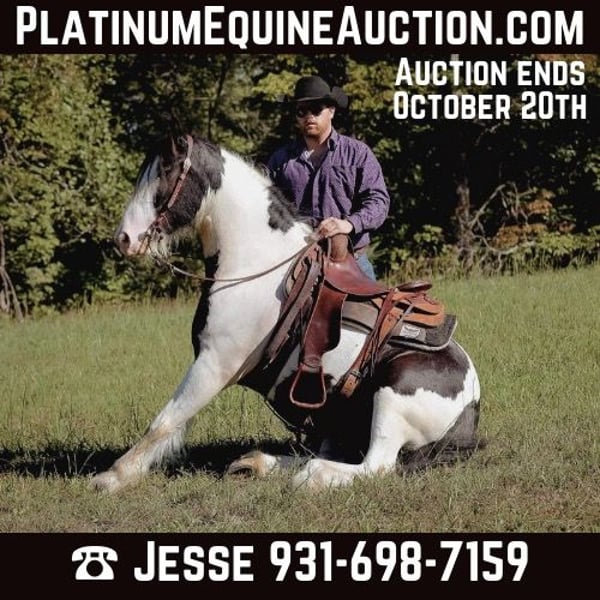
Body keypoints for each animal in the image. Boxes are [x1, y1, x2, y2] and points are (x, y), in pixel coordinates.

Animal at [91, 133, 481, 493]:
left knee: (376, 465)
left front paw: (113, 477)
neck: (254, 264)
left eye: (166, 173)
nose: (123, 238)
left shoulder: (215, 365)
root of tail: (471, 404)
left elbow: (165, 421)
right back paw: (257, 462)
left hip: (392, 392)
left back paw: (311, 476)